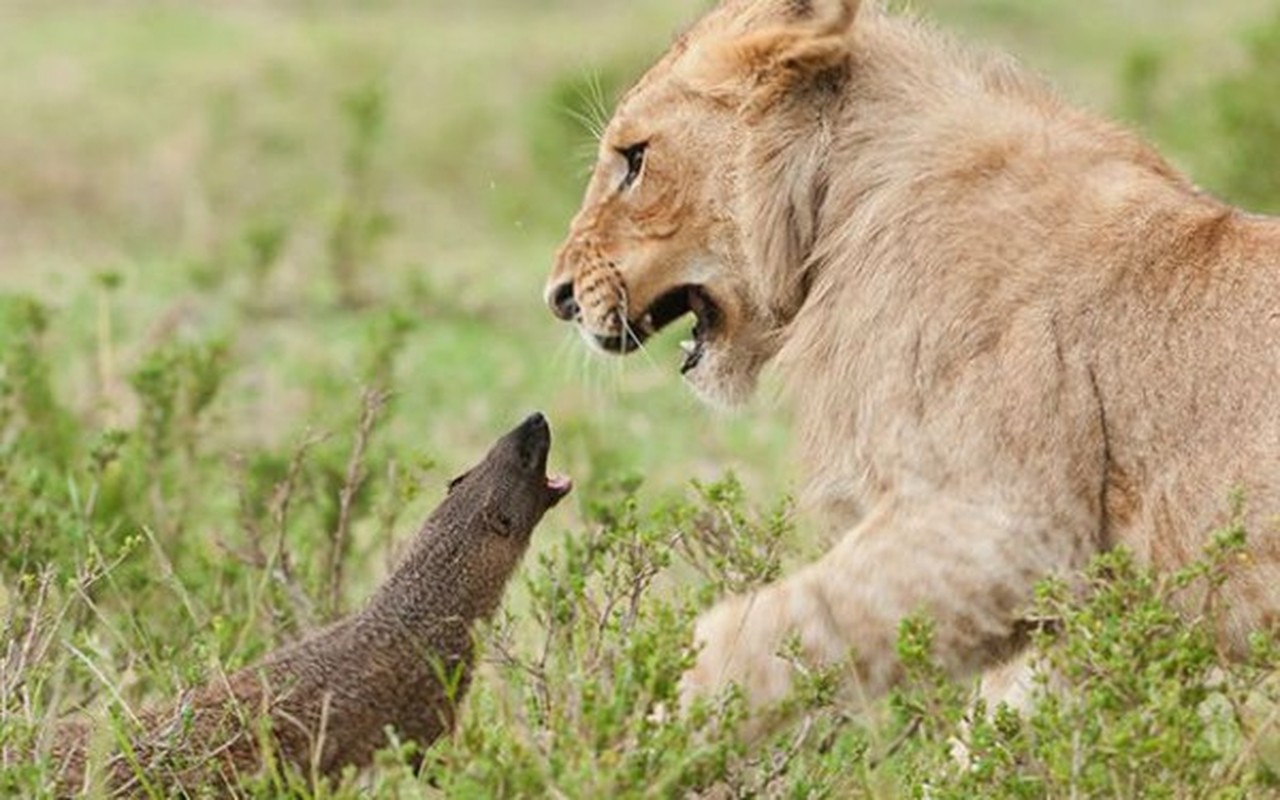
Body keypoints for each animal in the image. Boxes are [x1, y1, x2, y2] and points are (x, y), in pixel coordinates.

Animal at [542, 0, 1280, 727]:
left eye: (635, 159)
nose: (559, 298)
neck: (840, 207)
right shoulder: (1074, 599)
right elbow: (1000, 729)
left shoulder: (1008, 528)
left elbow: (759, 633)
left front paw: (629, 723)